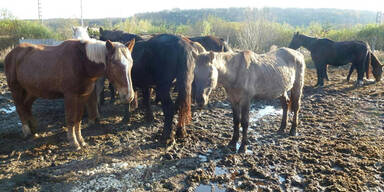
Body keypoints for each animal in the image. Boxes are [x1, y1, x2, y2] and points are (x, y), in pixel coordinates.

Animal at [4, 39, 136, 150]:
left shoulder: (82, 96)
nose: (129, 96)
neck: (82, 62)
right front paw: (74, 142)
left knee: (26, 106)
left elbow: (78, 119)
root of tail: (11, 54)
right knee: (20, 107)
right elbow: (71, 119)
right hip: (16, 89)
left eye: (131, 63)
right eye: (114, 63)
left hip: (32, 91)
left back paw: (33, 129)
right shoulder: (70, 96)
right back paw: (26, 131)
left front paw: (81, 141)